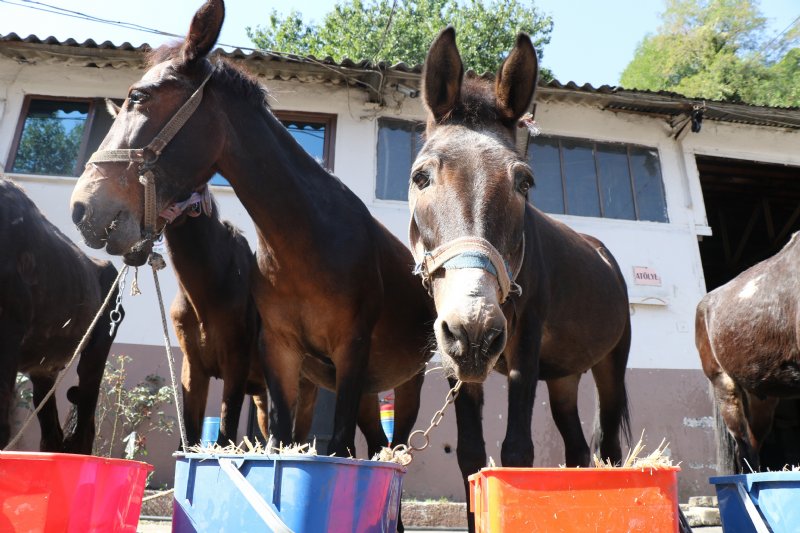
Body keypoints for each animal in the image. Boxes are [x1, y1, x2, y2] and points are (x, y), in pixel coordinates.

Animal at [69, 0, 432, 458]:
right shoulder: (264, 357)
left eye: (138, 96)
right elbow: (260, 439)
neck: (307, 242)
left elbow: (321, 443)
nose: (82, 207)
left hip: (404, 385)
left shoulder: (341, 350)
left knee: (396, 444)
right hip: (355, 391)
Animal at [412, 30, 632, 528]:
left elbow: (516, 451)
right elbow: (471, 455)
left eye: (524, 182)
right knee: (577, 451)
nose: (474, 327)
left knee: (609, 448)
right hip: (564, 377)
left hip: (611, 364)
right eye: (420, 177)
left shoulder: (525, 344)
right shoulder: (455, 360)